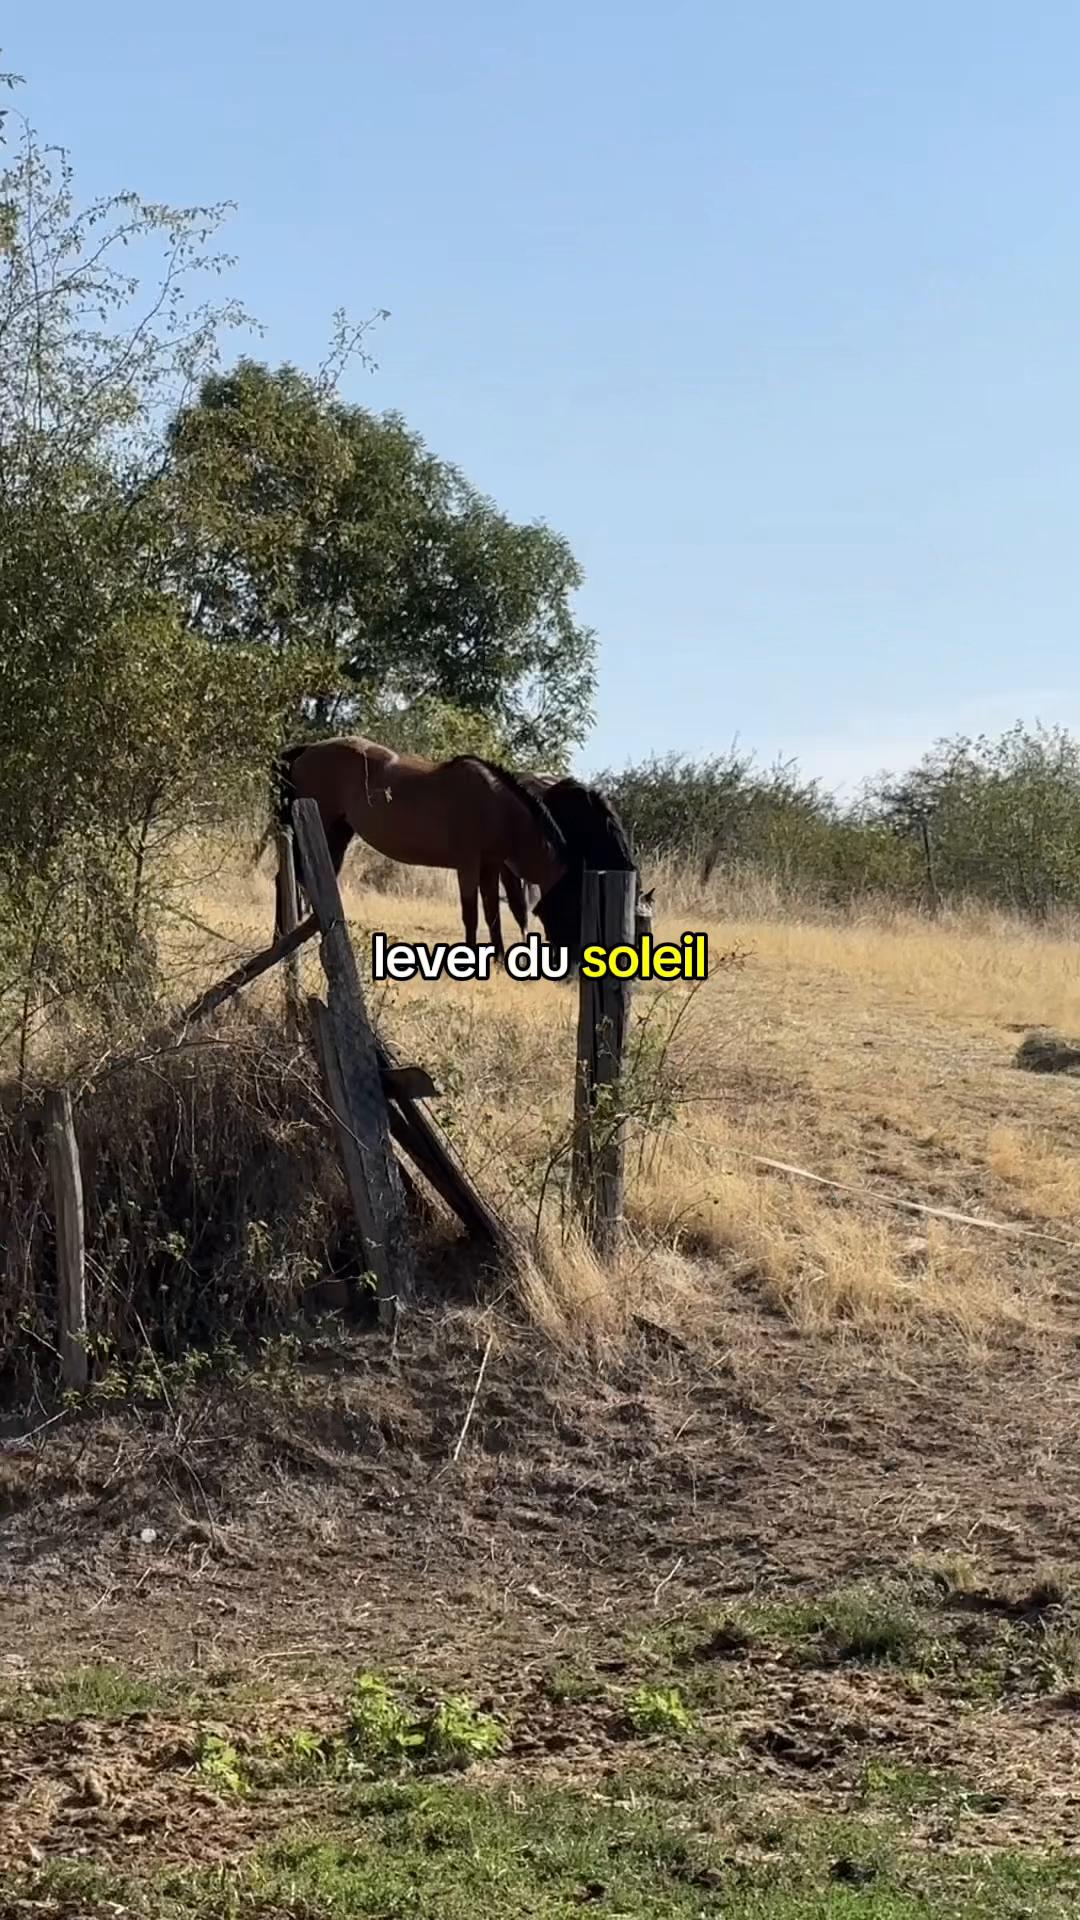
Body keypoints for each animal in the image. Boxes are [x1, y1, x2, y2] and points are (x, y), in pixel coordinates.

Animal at [265, 735, 578, 961]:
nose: (568, 961)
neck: (496, 805)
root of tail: (307, 750)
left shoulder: (489, 867)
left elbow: (492, 914)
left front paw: (499, 958)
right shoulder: (468, 865)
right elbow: (472, 914)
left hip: (336, 835)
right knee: (288, 880)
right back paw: (283, 942)